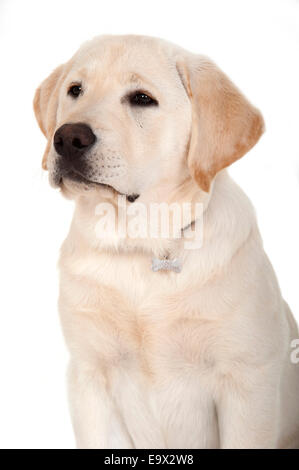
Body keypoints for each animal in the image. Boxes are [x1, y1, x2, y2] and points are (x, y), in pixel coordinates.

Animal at [33, 34, 299, 448]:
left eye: (142, 98)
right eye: (75, 90)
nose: (67, 137)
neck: (145, 246)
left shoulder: (247, 382)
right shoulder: (90, 377)